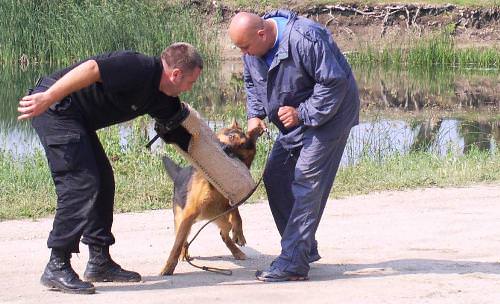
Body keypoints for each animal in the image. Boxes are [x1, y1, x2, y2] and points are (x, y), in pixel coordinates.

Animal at [160, 119, 262, 276]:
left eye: (242, 145)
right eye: (231, 136)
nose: (226, 149)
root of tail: (178, 174)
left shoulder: (231, 202)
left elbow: (238, 216)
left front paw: (239, 232)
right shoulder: (189, 214)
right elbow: (177, 244)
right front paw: (168, 267)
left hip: (222, 220)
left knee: (224, 234)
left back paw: (236, 251)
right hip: (182, 219)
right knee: (182, 238)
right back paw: (184, 253)